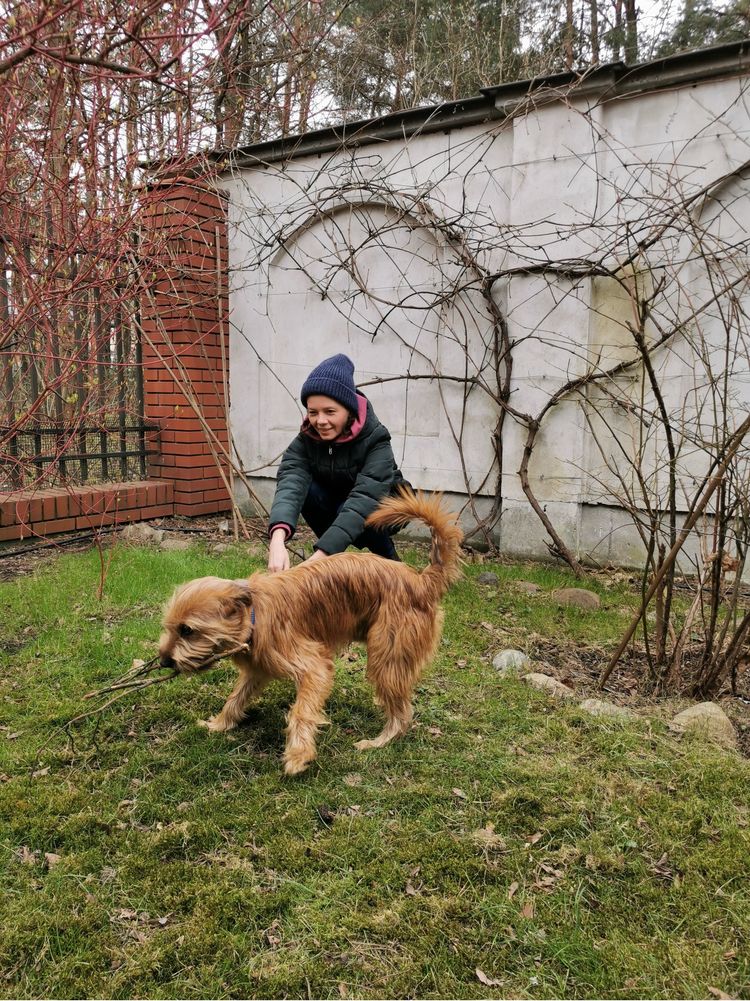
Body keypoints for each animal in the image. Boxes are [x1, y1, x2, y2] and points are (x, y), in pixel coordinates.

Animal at [161, 488, 458, 776]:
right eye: (171, 627)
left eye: (187, 630)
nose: (164, 661)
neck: (254, 615)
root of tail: (421, 581)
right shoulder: (257, 670)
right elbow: (236, 698)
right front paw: (220, 724)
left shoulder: (314, 667)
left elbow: (302, 711)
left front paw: (298, 755)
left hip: (387, 655)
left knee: (402, 713)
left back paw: (380, 741)